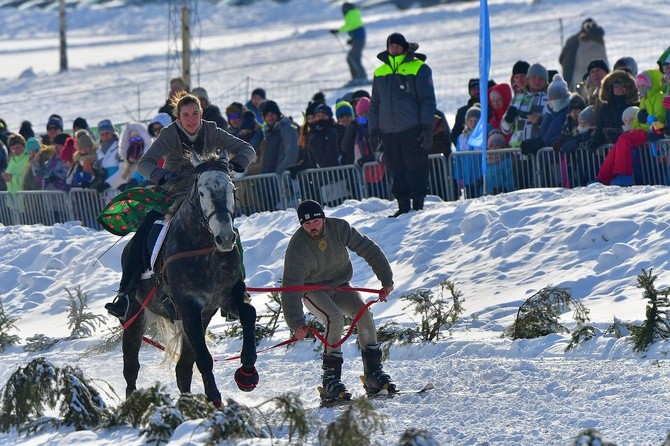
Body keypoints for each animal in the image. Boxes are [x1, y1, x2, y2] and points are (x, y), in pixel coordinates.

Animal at [121, 153, 258, 408]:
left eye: (231, 188)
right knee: (131, 368)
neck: (203, 251)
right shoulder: (189, 307)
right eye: (202, 192)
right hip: (136, 316)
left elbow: (249, 313)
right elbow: (204, 359)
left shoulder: (222, 299)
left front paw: (247, 372)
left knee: (182, 370)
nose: (225, 237)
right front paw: (214, 396)